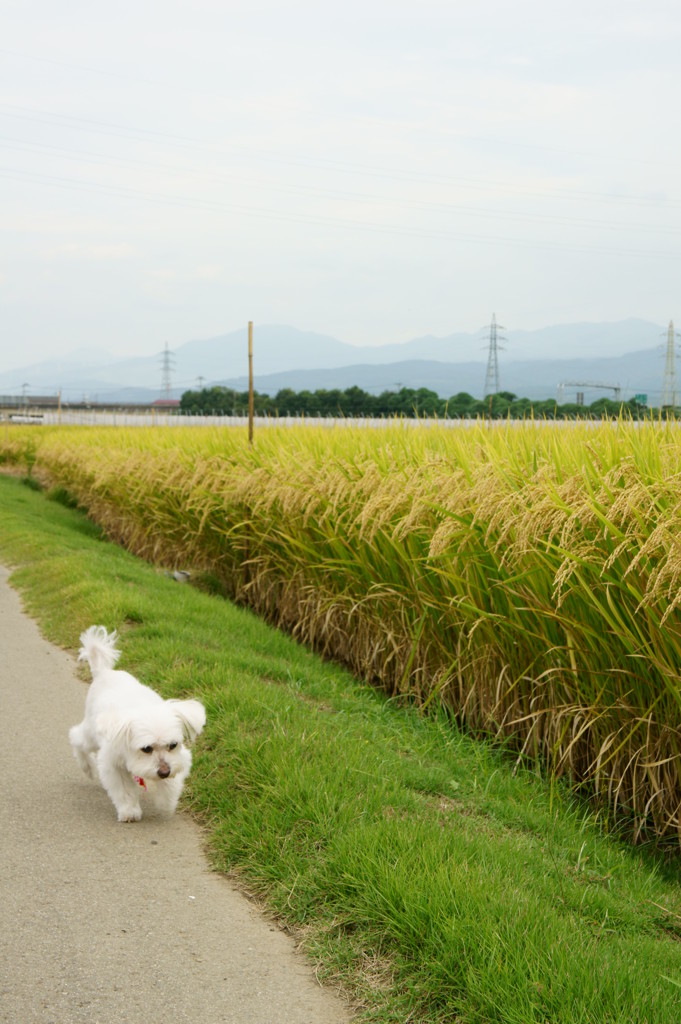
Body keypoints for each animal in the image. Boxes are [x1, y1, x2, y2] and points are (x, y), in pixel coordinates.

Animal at [69, 622, 206, 823]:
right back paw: (87, 767)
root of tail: (104, 672)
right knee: (76, 738)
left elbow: (171, 784)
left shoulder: (179, 759)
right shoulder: (112, 763)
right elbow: (124, 790)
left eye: (173, 745)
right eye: (146, 748)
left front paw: (166, 802)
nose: (163, 772)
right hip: (91, 734)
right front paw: (130, 811)